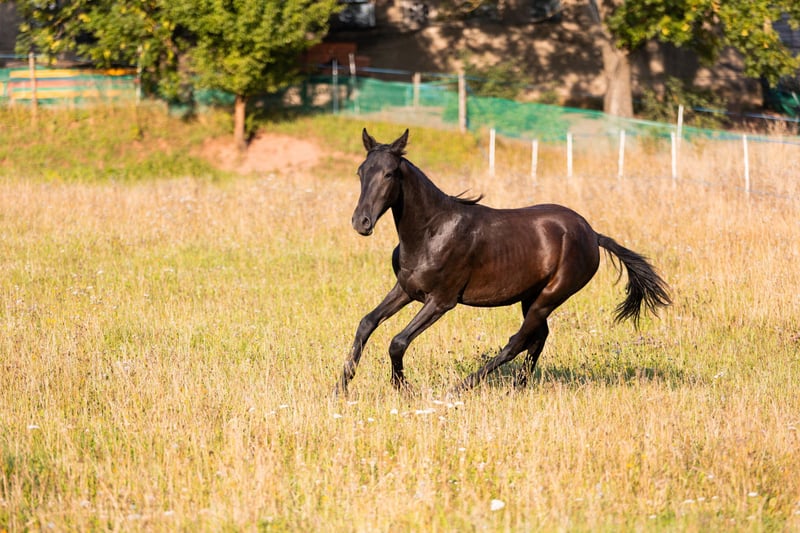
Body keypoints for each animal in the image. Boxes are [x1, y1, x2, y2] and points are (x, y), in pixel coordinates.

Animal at [337, 128, 670, 395]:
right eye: (361, 171)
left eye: (389, 174)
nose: (361, 222)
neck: (431, 230)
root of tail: (593, 235)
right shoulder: (406, 289)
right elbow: (367, 323)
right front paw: (341, 386)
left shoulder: (442, 300)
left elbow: (398, 341)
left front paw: (403, 389)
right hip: (531, 296)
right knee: (538, 337)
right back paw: (518, 386)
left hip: (550, 296)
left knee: (517, 341)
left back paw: (464, 386)